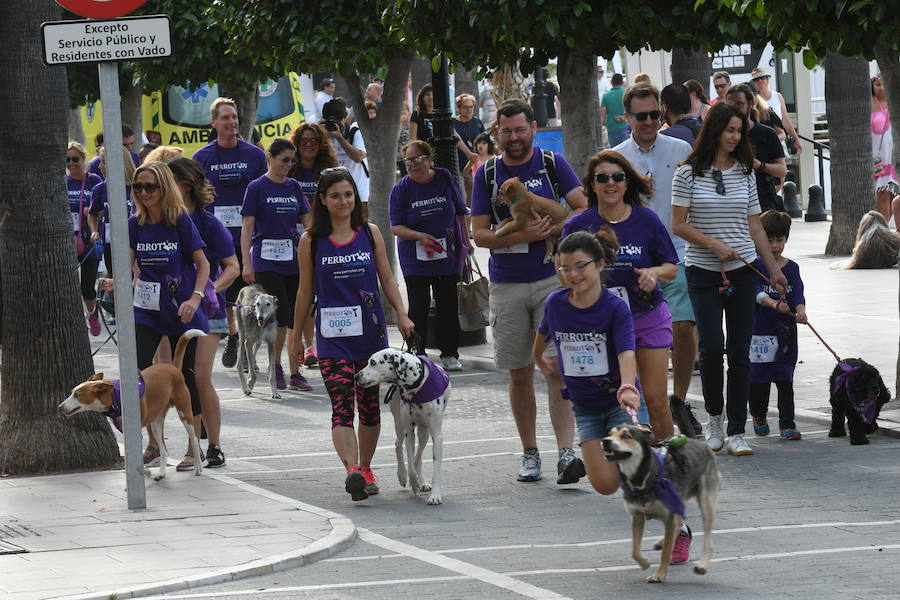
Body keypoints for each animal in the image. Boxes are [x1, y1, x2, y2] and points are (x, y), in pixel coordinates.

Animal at [59, 326, 206, 480]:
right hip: (156, 422)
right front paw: (144, 472)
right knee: (164, 449)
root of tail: (173, 367)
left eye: (77, 395)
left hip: (185, 413)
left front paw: (143, 472)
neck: (116, 397)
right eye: (72, 393)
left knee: (194, 440)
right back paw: (161, 473)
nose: (60, 407)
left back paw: (197, 466)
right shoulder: (126, 432)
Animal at [354, 346, 448, 506]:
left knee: (418, 457)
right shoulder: (409, 431)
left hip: (424, 432)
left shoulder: (437, 436)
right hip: (399, 424)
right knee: (399, 445)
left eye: (373, 362)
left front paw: (435, 496)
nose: (355, 376)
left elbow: (434, 469)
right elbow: (410, 465)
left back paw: (423, 482)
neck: (417, 384)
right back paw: (403, 476)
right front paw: (413, 482)